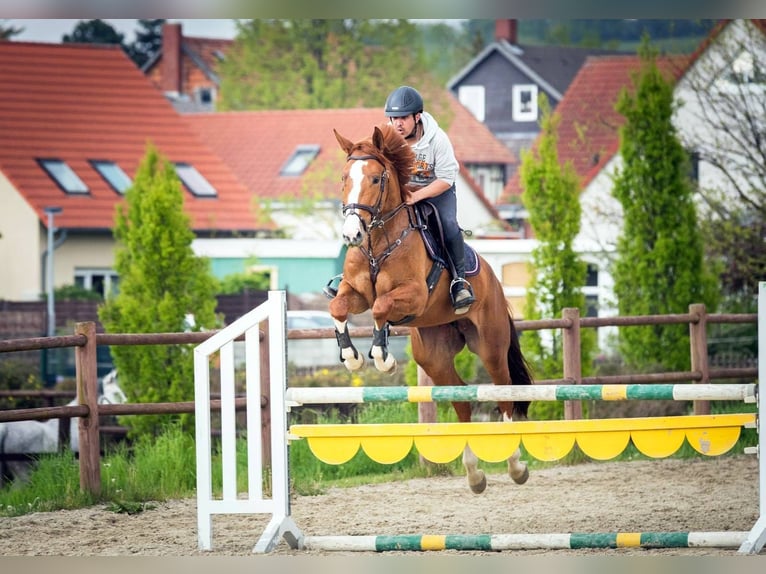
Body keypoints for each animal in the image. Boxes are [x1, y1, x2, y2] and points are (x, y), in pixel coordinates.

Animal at [330, 126, 536, 496]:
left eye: (376, 179)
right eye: (344, 177)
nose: (352, 235)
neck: (378, 243)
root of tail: (495, 282)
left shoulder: (413, 296)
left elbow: (381, 306)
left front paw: (382, 357)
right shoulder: (354, 293)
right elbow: (338, 305)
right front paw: (352, 357)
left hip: (491, 346)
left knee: (505, 396)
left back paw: (515, 467)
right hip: (434, 356)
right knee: (462, 400)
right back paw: (474, 475)